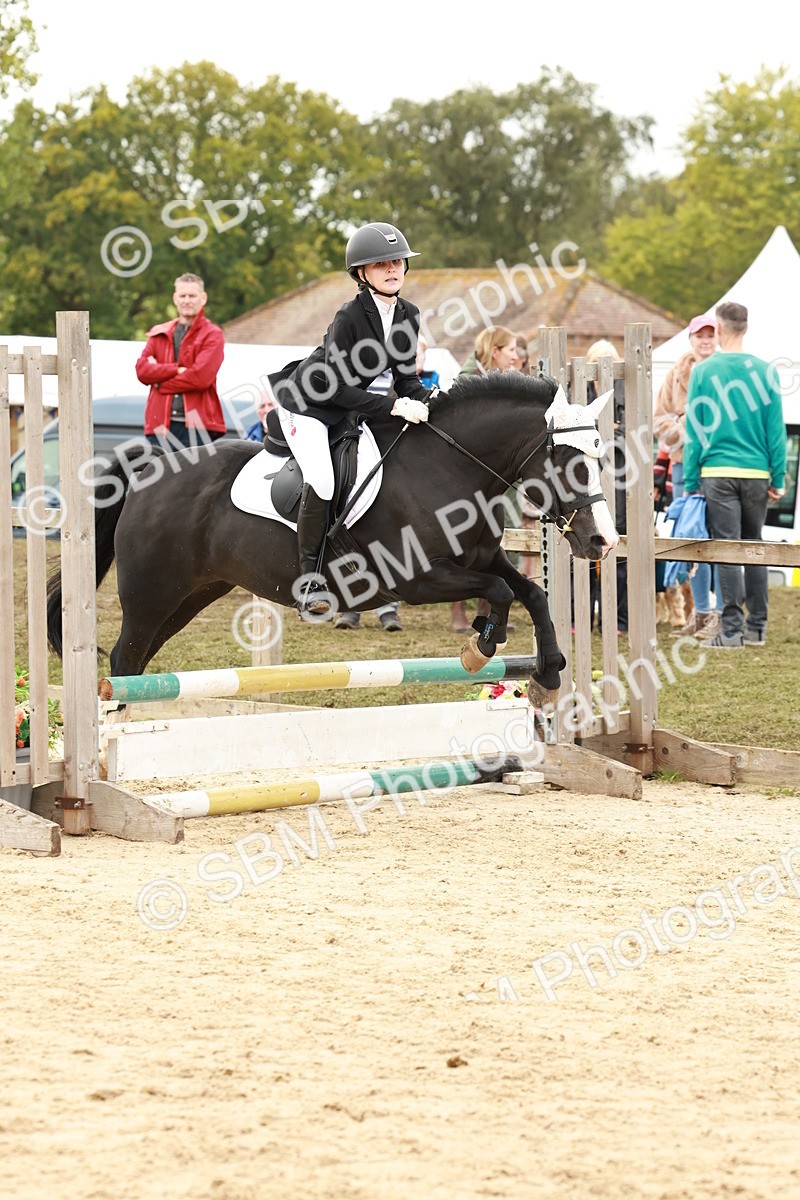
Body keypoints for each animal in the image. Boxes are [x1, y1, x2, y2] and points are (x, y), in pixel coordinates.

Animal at [46, 372, 618, 706]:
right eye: (568, 461)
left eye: (601, 456)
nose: (601, 542)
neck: (448, 467)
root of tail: (148, 469)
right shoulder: (418, 579)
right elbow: (500, 593)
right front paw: (482, 644)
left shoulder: (482, 558)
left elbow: (532, 593)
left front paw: (548, 670)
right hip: (151, 594)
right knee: (123, 662)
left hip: (190, 596)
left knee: (137, 663)